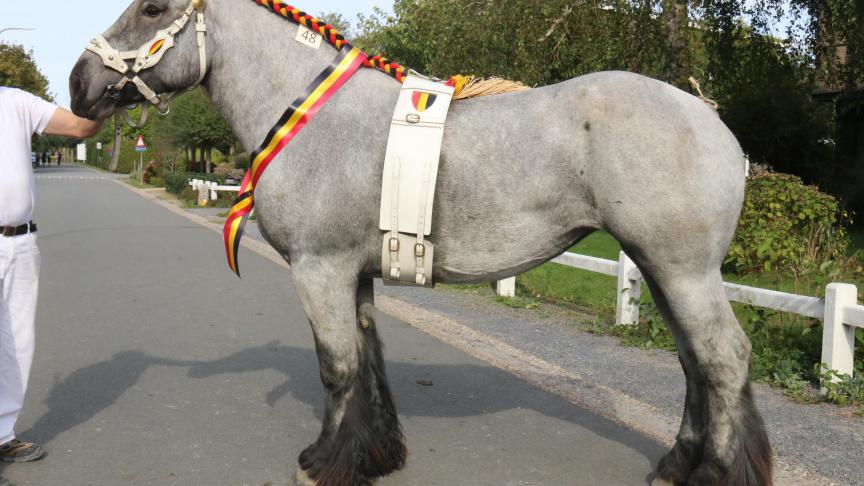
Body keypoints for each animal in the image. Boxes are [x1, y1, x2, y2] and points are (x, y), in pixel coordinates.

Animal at [67, 1, 768, 484]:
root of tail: (710, 117)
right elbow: (368, 359)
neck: (311, 113)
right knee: (696, 365)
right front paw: (374, 454)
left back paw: (712, 473)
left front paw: (323, 462)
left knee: (725, 359)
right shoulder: (354, 274)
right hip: (660, 269)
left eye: (153, 9)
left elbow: (337, 366)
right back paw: (676, 466)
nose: (78, 84)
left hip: (683, 270)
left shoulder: (318, 271)